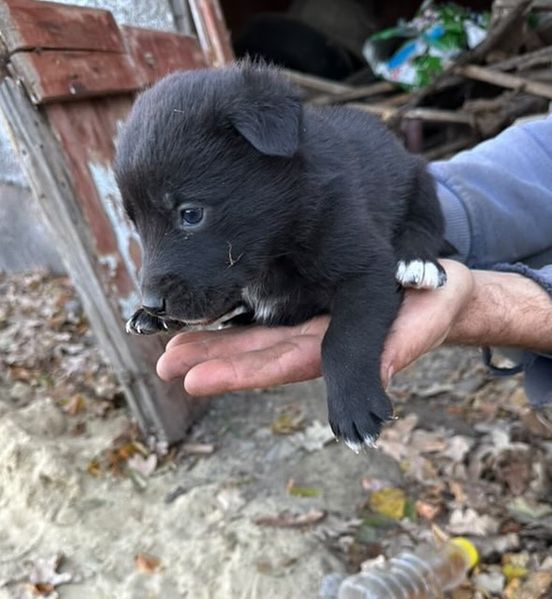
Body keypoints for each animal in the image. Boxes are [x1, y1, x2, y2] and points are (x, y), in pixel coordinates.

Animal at [114, 62, 446, 454]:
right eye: (135, 222)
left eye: (190, 214)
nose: (153, 303)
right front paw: (147, 315)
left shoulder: (364, 266)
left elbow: (343, 338)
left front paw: (353, 407)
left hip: (419, 176)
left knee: (424, 222)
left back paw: (417, 262)